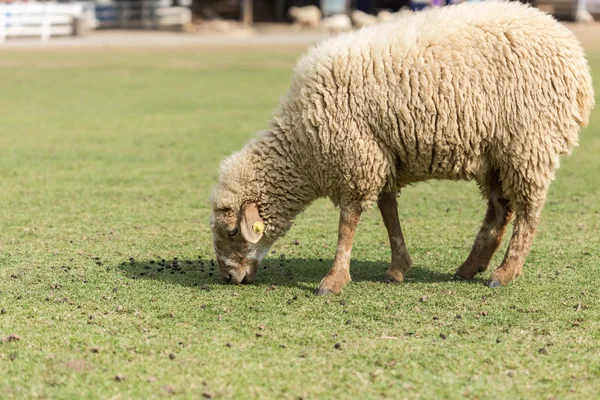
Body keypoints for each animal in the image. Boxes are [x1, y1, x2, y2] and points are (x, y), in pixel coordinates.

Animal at [209, 1, 592, 296]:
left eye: (232, 231)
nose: (228, 278)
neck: (302, 144)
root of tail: (572, 49)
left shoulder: (357, 156)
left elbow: (348, 223)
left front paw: (333, 281)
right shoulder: (381, 154)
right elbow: (388, 211)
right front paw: (398, 268)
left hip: (528, 143)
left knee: (528, 210)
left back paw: (505, 273)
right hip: (495, 153)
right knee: (500, 210)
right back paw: (470, 267)